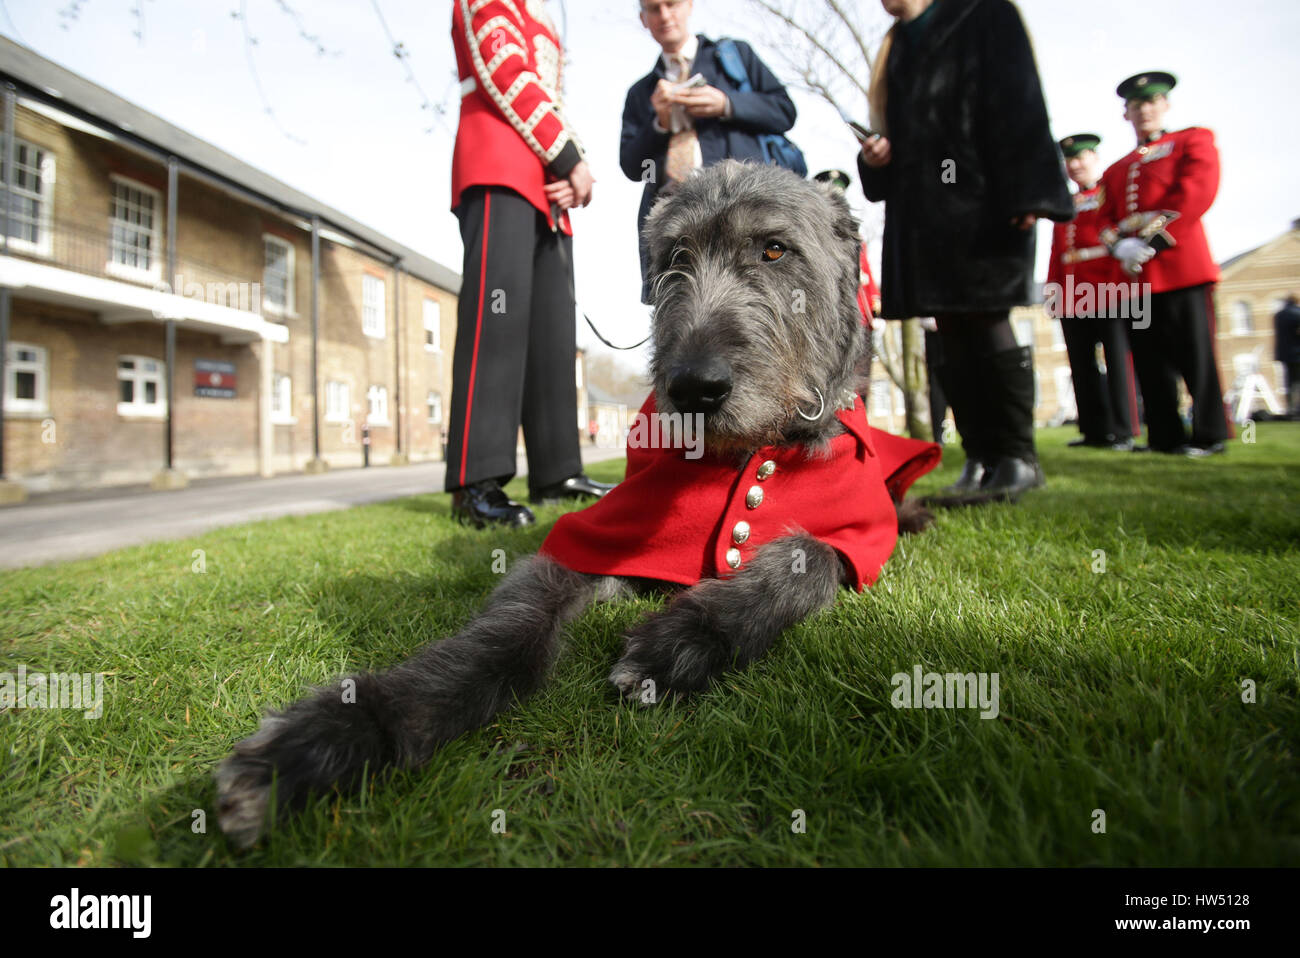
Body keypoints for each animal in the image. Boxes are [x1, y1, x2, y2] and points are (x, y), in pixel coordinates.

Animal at [213, 160, 930, 847]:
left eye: (774, 250)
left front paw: (689, 637)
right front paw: (348, 731)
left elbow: (807, 557)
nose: (693, 389)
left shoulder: (857, 534)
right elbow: (512, 624)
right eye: (675, 257)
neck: (744, 455)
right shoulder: (592, 537)